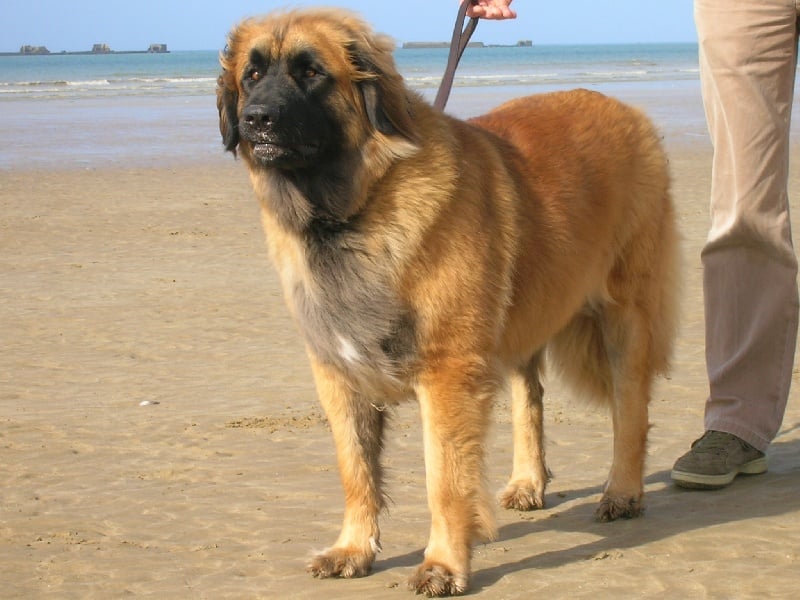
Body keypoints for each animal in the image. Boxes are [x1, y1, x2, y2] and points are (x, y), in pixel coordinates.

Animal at [217, 8, 679, 596]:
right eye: (251, 75)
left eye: (311, 72)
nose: (257, 119)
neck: (353, 212)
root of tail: (627, 112)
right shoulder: (339, 373)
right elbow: (355, 470)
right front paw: (353, 549)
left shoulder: (447, 375)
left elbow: (444, 478)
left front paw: (443, 563)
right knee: (530, 399)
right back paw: (528, 481)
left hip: (625, 317)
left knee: (630, 409)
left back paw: (622, 491)